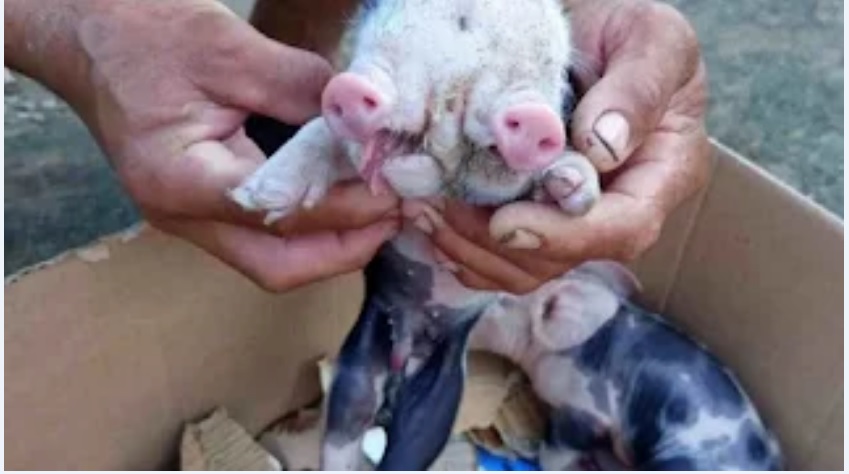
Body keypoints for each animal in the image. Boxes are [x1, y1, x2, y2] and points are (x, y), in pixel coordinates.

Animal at [231, 0, 602, 470]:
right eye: (463, 22)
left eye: (561, 75)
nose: (536, 116)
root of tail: (407, 348)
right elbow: (324, 133)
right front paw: (256, 196)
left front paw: (570, 184)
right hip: (358, 363)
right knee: (347, 420)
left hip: (442, 394)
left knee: (413, 440)